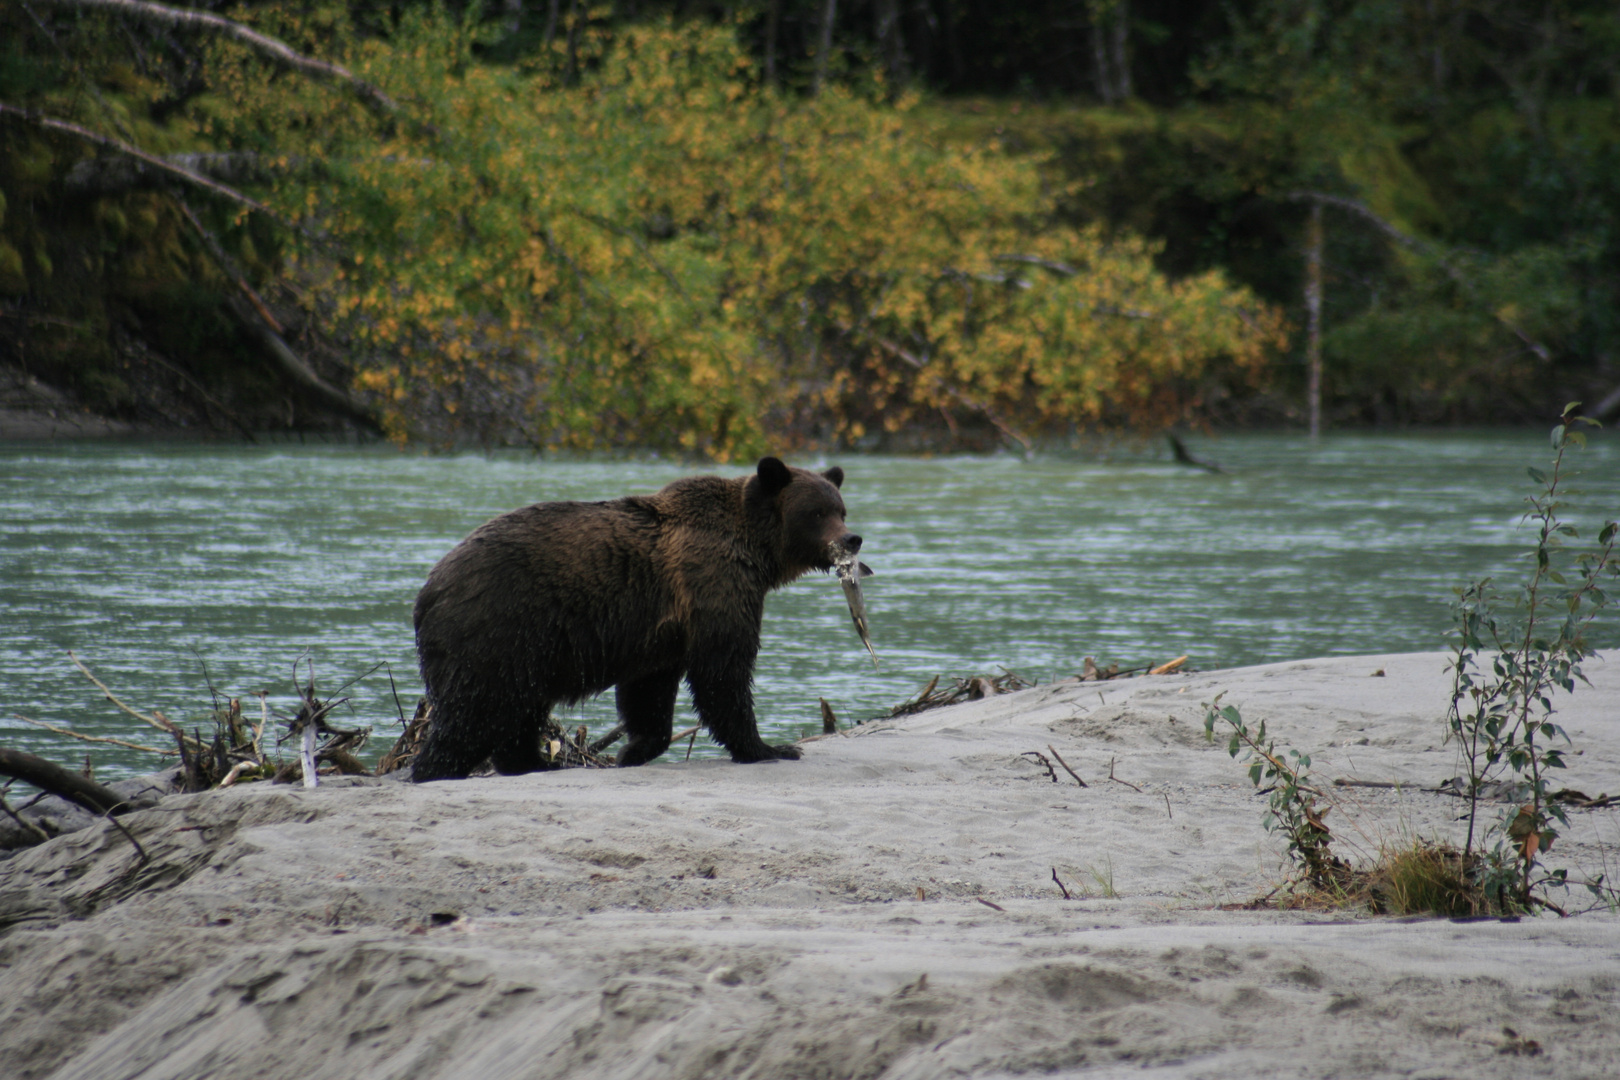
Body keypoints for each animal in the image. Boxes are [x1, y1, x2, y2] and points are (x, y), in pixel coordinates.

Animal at [408, 453, 861, 780]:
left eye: (841, 509)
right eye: (816, 512)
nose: (851, 539)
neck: (757, 552)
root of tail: (429, 588)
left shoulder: (661, 628)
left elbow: (649, 689)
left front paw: (633, 749)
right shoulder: (713, 583)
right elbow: (723, 671)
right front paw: (771, 747)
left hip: (525, 649)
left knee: (521, 710)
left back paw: (534, 761)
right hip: (497, 630)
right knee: (474, 713)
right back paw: (436, 768)